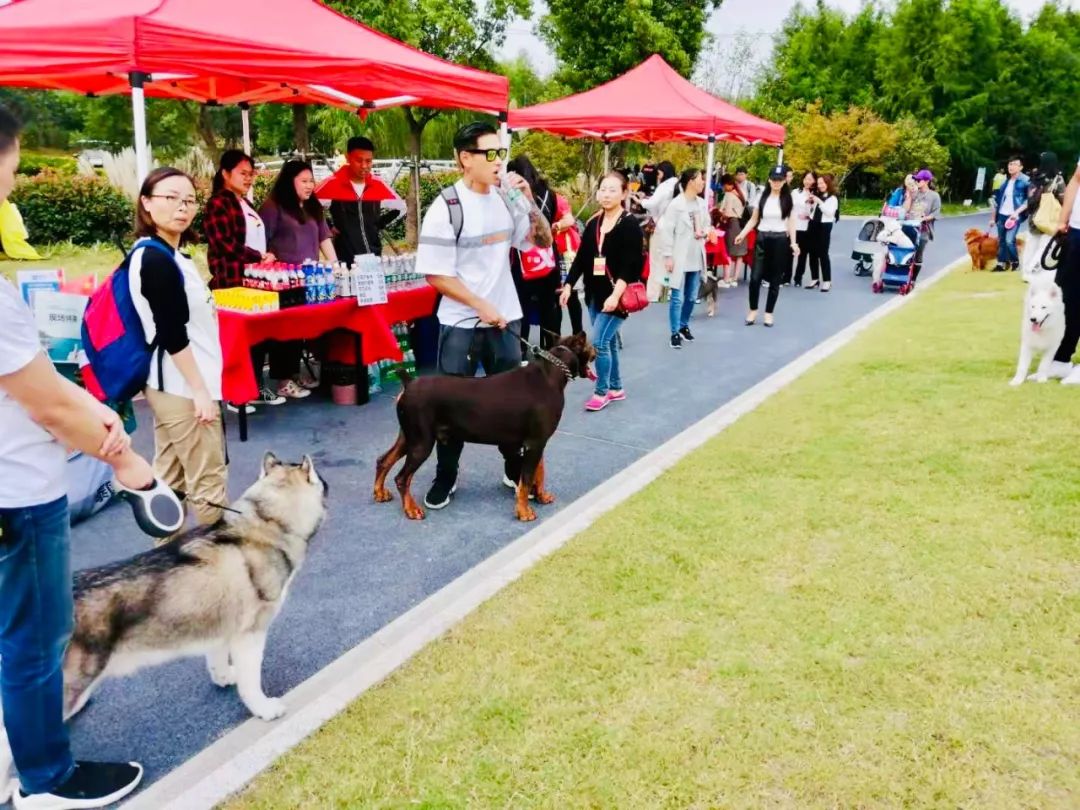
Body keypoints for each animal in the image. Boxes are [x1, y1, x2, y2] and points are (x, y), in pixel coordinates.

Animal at [373, 332, 596, 522]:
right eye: (589, 345)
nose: (598, 350)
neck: (552, 373)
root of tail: (409, 383)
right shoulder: (535, 442)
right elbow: (526, 480)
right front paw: (524, 511)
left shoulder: (537, 443)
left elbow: (538, 472)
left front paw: (541, 496)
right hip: (422, 442)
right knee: (402, 478)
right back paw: (411, 509)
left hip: (408, 436)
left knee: (383, 460)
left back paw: (380, 493)